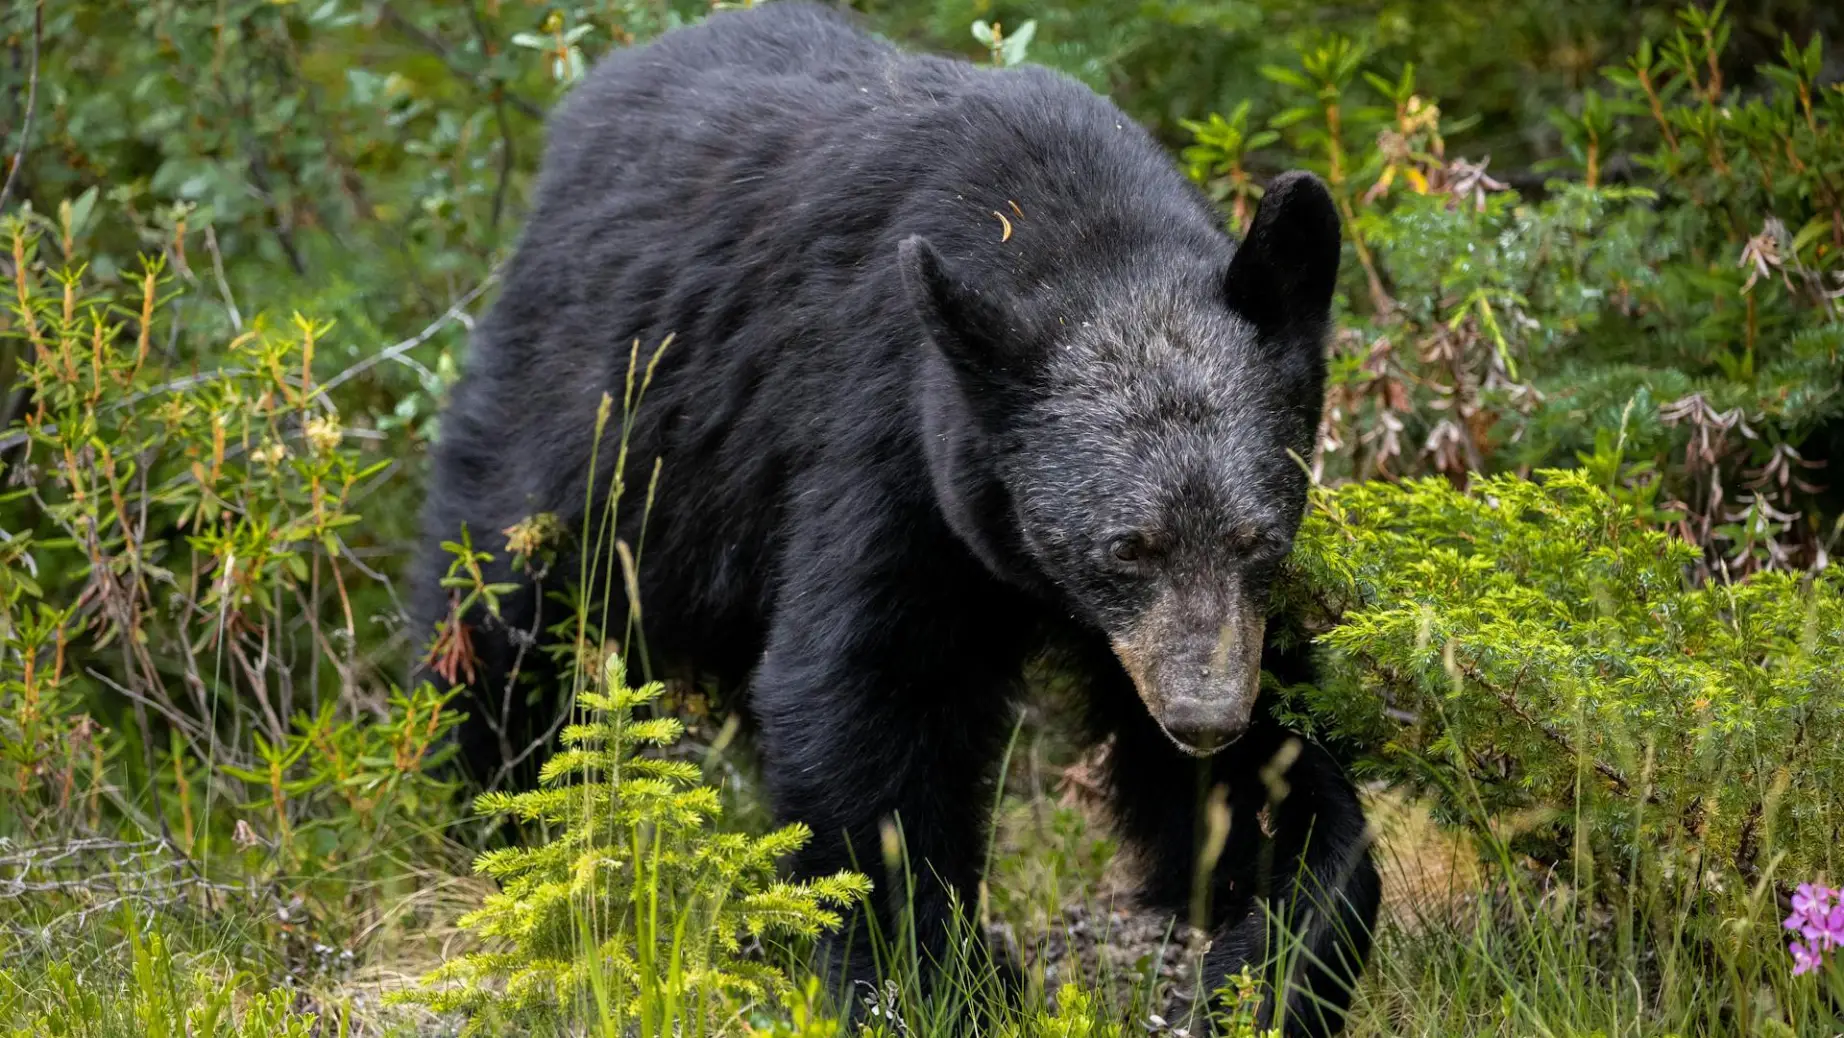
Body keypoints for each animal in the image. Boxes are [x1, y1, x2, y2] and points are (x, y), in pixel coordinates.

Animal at [411, 3, 1379, 1034]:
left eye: (1258, 538)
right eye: (1127, 547)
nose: (1204, 717)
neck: (1074, 232)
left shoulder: (1189, 625)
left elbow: (1268, 772)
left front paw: (1271, 952)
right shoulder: (888, 440)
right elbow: (866, 691)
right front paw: (930, 978)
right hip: (595, 417)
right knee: (501, 607)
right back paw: (494, 808)